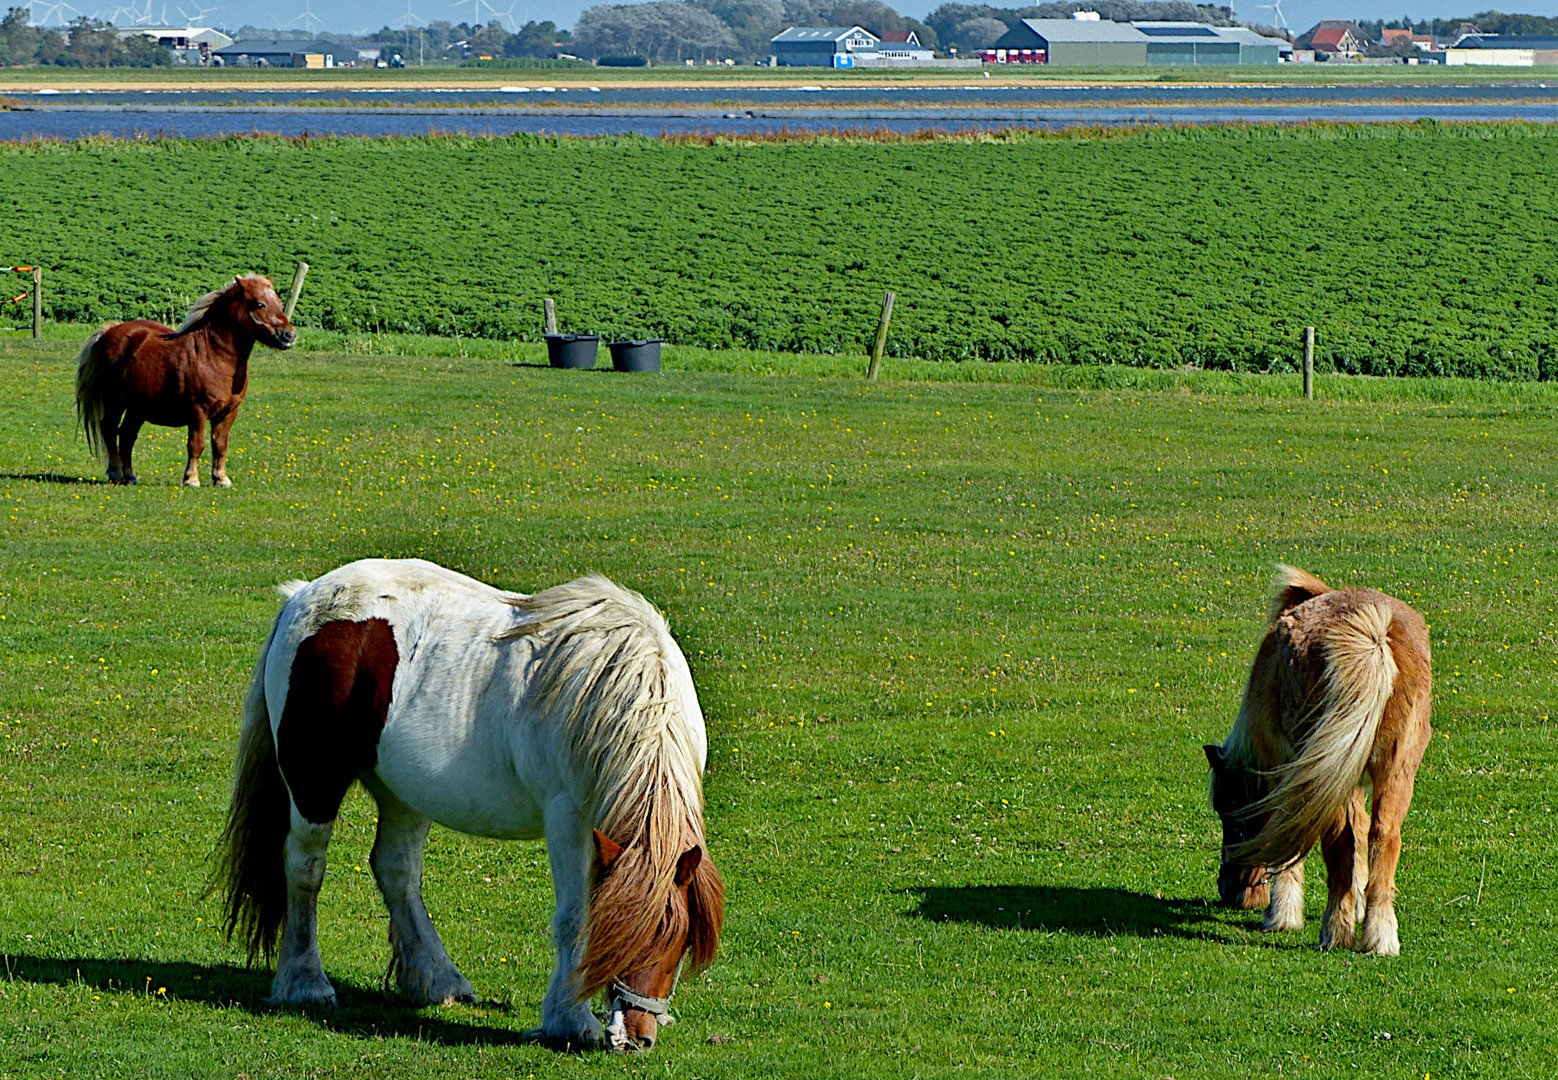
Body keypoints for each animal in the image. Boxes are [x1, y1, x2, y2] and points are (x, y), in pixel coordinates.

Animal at [75, 271, 294, 486]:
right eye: (260, 304)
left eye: (279, 302)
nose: (289, 335)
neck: (214, 355)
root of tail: (109, 331)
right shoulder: (198, 411)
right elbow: (196, 444)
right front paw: (191, 479)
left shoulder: (229, 412)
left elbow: (220, 444)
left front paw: (221, 478)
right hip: (115, 401)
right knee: (110, 430)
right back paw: (115, 473)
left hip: (137, 408)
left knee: (127, 436)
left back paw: (130, 476)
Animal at [213, 561, 722, 1047]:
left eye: (678, 944)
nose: (636, 1037)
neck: (630, 696)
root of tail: (303, 596)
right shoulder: (567, 817)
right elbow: (574, 918)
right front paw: (570, 1020)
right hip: (313, 782)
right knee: (305, 868)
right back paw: (304, 981)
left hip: (402, 791)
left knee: (396, 870)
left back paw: (435, 979)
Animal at [1202, 564, 1433, 953]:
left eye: (1231, 818)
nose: (1230, 892)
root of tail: (1373, 637)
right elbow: (1362, 830)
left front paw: (1281, 914)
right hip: (1395, 770)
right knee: (1383, 835)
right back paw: (1379, 936)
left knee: (1339, 841)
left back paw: (1335, 931)